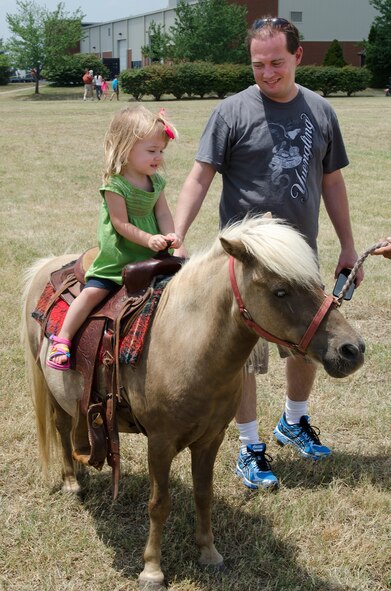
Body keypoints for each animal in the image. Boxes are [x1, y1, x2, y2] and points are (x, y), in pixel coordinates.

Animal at [20, 216, 364, 588]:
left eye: (319, 282)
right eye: (280, 291)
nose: (352, 349)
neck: (185, 340)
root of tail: (49, 265)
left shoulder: (210, 439)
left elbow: (204, 494)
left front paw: (209, 553)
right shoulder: (160, 442)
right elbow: (159, 503)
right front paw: (152, 569)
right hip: (52, 390)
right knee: (61, 427)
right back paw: (71, 482)